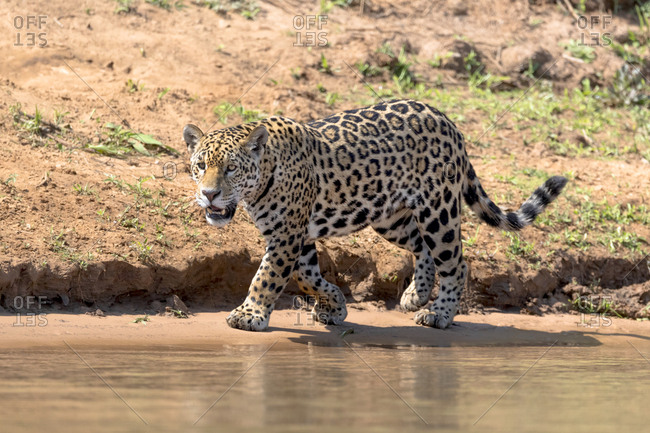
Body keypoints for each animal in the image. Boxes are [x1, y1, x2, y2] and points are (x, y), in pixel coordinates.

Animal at [183, 99, 567, 332]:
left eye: (231, 169)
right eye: (200, 166)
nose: (209, 194)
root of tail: (446, 119)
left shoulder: (287, 235)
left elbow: (266, 276)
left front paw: (249, 315)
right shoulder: (297, 236)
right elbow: (308, 277)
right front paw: (334, 305)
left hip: (439, 210)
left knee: (456, 262)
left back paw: (438, 313)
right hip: (391, 218)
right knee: (422, 248)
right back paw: (415, 295)